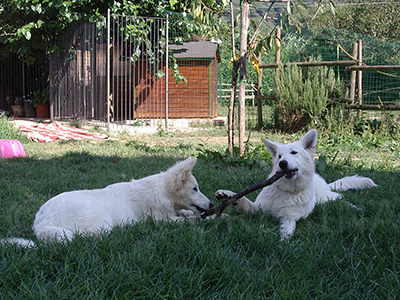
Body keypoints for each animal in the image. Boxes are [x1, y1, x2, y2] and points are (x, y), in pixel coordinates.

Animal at [3, 156, 214, 247]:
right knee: (91, 236)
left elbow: (187, 212)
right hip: (101, 217)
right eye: (195, 189)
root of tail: (41, 222)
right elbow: (189, 220)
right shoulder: (161, 219)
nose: (212, 205)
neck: (162, 192)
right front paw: (205, 219)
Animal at [217, 129, 376, 239]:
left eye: (294, 152)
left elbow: (287, 230)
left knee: (339, 198)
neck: (286, 191)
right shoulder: (257, 209)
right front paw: (228, 195)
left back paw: (355, 208)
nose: (282, 163)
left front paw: (283, 241)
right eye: (279, 156)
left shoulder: (289, 217)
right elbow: (243, 200)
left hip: (325, 198)